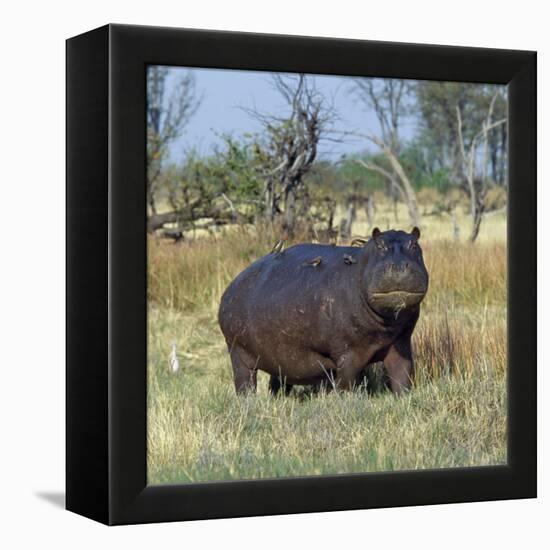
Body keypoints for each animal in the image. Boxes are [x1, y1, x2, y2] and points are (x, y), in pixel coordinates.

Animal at [218, 229, 430, 396]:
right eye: (379, 245)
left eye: (414, 244)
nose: (399, 266)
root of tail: (232, 285)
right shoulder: (348, 353)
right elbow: (346, 382)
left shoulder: (400, 343)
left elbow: (402, 374)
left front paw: (404, 398)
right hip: (238, 353)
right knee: (245, 382)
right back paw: (248, 401)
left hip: (275, 358)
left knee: (277, 382)